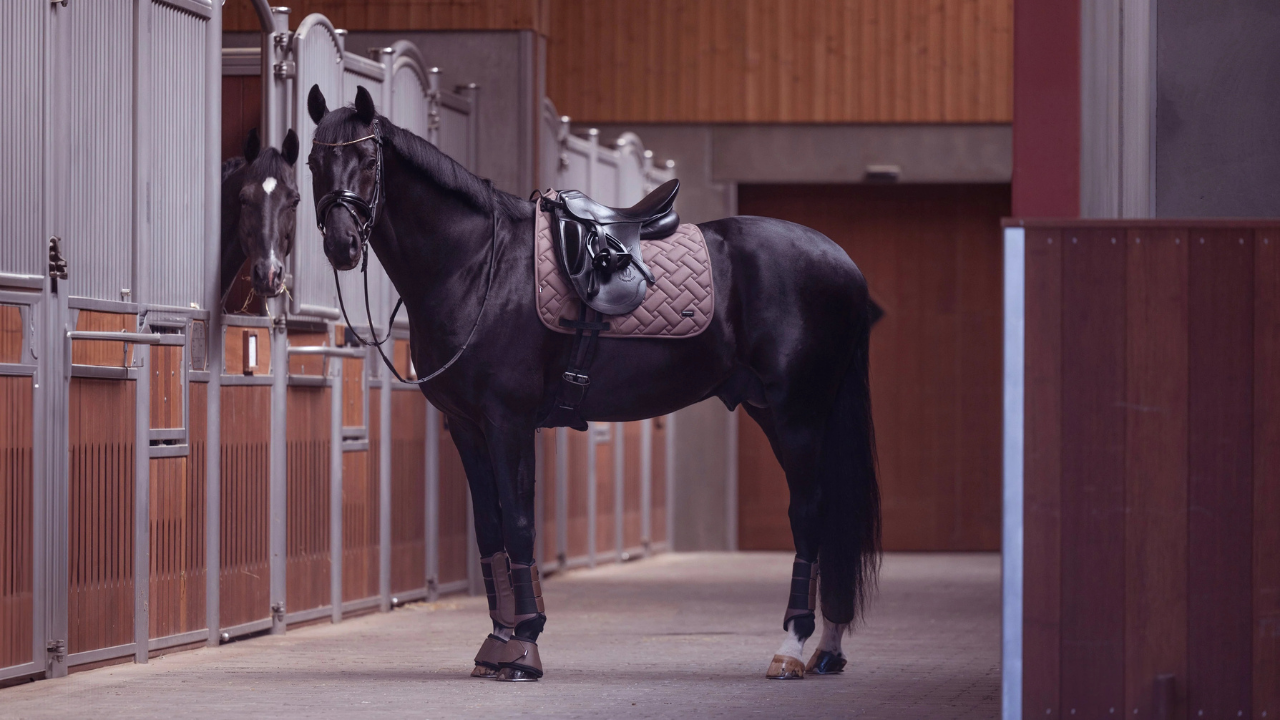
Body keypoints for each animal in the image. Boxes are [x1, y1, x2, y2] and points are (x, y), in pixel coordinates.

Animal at [305, 84, 880, 682]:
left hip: (797, 415)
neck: (479, 266)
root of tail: (843, 264)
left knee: (810, 513)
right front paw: (498, 643)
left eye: (369, 161)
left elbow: (518, 524)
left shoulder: (508, 421)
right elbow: (490, 529)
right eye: (313, 162)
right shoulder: (465, 426)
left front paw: (525, 647)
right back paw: (826, 649)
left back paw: (792, 646)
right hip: (774, 410)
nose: (342, 245)